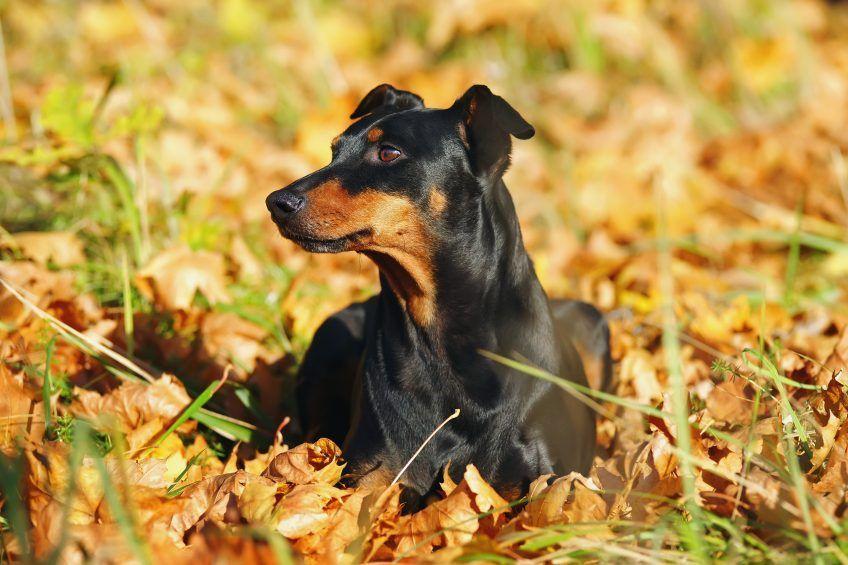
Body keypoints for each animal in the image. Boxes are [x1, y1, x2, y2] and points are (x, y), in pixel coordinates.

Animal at [264, 81, 608, 500]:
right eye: (334, 150)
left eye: (388, 152)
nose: (276, 202)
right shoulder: (372, 476)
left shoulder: (546, 483)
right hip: (330, 335)